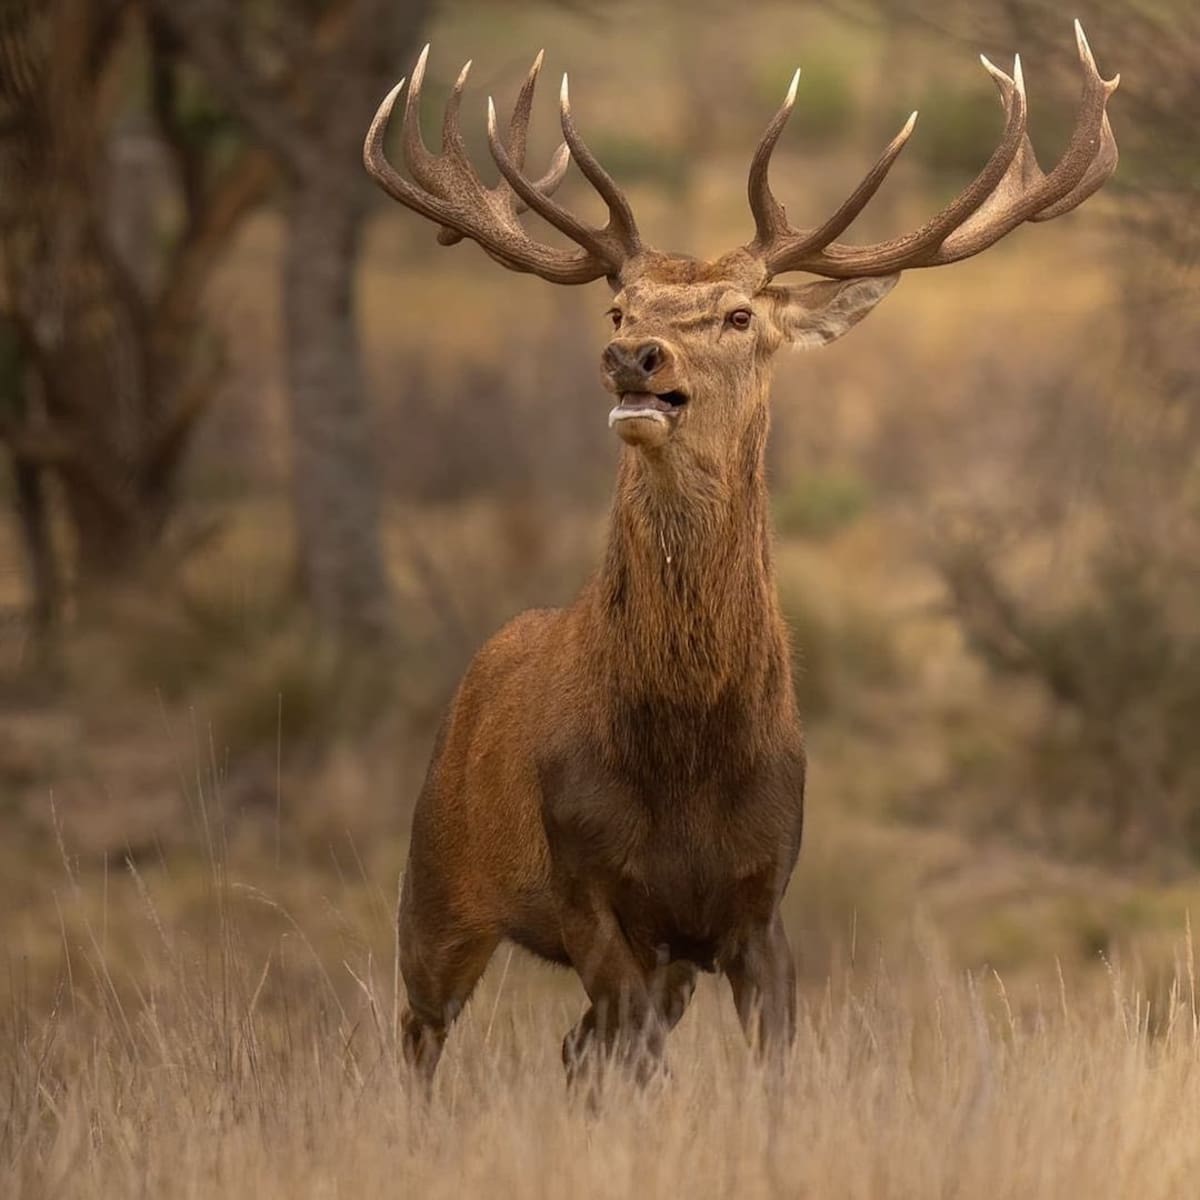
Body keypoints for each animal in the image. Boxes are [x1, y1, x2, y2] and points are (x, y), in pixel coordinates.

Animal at [363, 23, 1118, 1088]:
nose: (634, 358)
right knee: (424, 1036)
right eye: (618, 311)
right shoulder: (586, 888)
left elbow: (765, 1065)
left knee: (572, 1049)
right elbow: (627, 1040)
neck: (685, 756)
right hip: (435, 877)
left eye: (740, 316)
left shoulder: (757, 903)